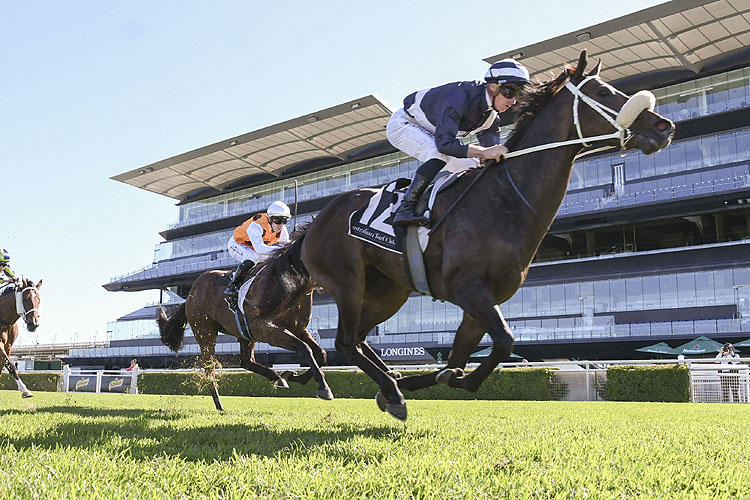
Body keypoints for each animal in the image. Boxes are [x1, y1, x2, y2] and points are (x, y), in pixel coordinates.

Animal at [157, 230, 334, 410]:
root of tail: (190, 294)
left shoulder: (297, 329)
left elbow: (321, 353)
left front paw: (293, 376)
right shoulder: (267, 329)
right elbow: (304, 348)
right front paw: (323, 387)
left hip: (244, 333)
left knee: (246, 361)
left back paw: (277, 378)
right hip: (205, 331)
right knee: (210, 368)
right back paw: (219, 404)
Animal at [276, 50, 676, 420]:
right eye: (605, 92)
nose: (664, 126)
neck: (504, 200)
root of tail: (316, 222)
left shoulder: (484, 298)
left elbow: (462, 355)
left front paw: (429, 379)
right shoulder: (467, 288)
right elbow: (502, 342)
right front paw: (445, 380)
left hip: (389, 290)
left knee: (358, 340)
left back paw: (391, 386)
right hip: (348, 281)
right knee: (346, 342)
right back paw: (389, 389)